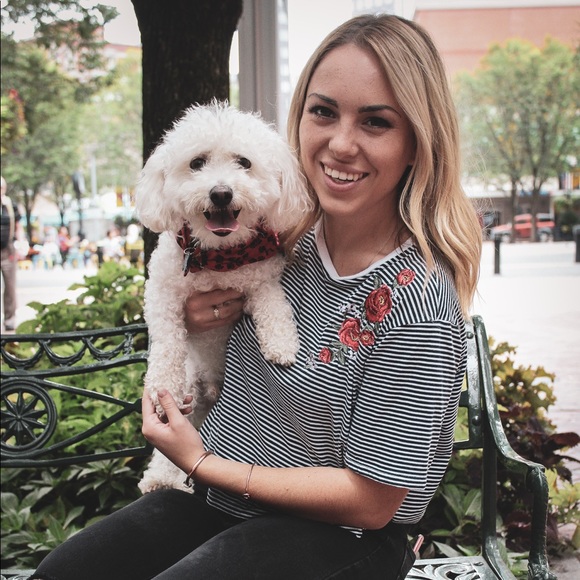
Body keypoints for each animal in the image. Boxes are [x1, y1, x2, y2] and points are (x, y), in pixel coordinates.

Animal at [135, 101, 311, 493]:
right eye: (197, 162)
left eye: (243, 162)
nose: (220, 193)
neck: (218, 258)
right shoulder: (161, 292)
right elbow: (167, 341)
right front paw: (161, 385)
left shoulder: (263, 278)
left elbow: (274, 305)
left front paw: (281, 343)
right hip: (191, 388)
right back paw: (160, 478)